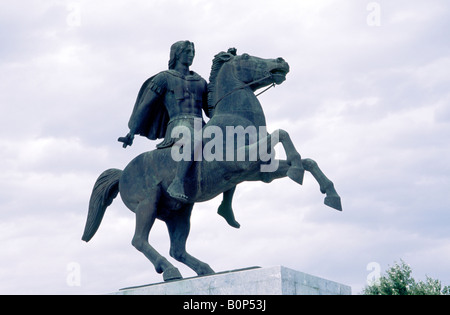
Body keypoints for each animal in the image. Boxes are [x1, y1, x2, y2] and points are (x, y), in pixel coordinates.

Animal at [81, 48, 342, 282]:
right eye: (246, 56)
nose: (281, 61)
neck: (238, 119)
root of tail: (122, 173)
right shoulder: (240, 160)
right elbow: (282, 133)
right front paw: (298, 173)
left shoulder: (259, 170)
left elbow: (307, 159)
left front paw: (331, 194)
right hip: (148, 204)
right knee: (139, 240)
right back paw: (170, 271)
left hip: (179, 213)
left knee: (177, 249)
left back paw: (204, 268)